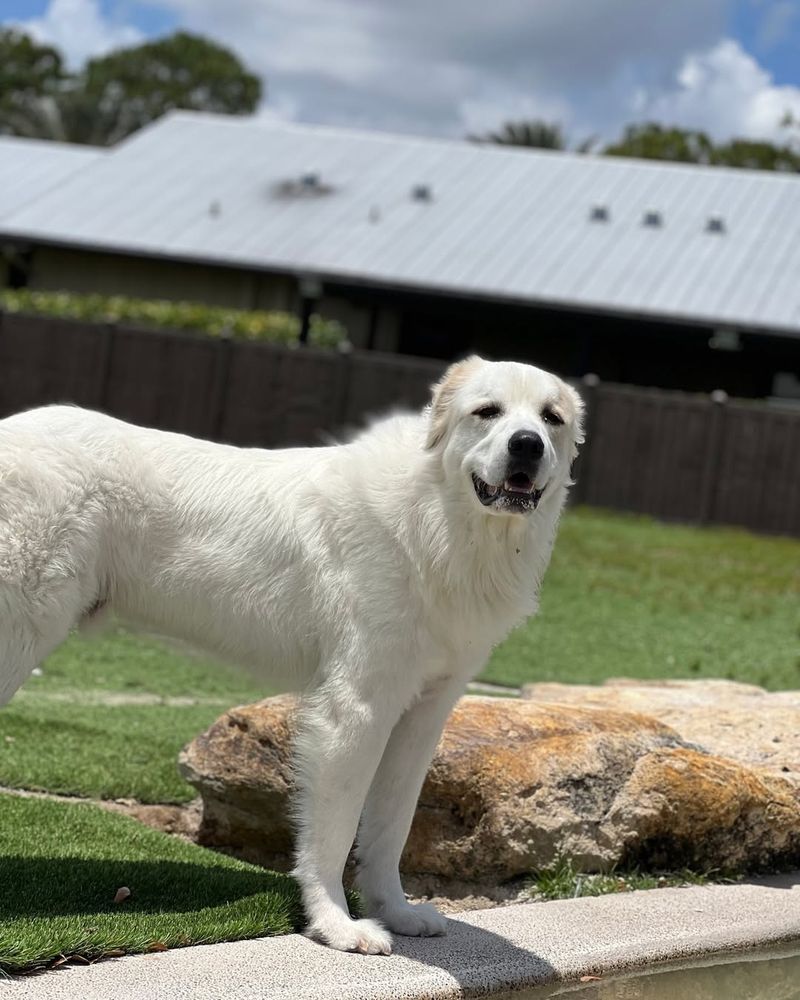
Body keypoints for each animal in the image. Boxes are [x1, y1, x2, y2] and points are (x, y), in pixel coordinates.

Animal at [0, 358, 580, 952]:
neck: (438, 515)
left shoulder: (422, 716)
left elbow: (392, 827)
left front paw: (395, 913)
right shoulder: (355, 710)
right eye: (487, 411)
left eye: (550, 418)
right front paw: (336, 925)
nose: (527, 445)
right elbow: (335, 830)